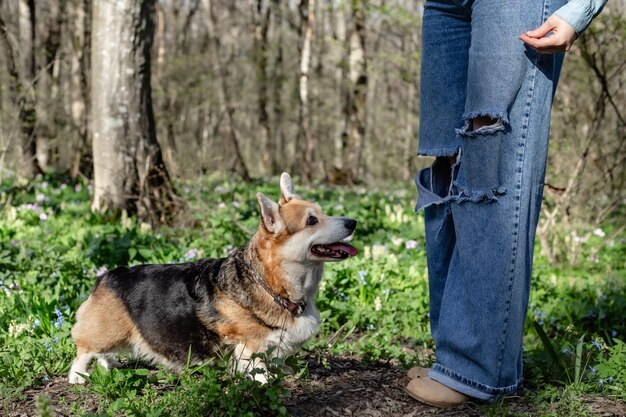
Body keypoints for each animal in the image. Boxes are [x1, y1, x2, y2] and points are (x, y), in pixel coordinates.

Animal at [67, 172, 356, 384]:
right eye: (311, 221)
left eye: (323, 212)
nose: (353, 222)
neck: (271, 285)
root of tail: (107, 275)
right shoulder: (248, 348)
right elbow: (259, 372)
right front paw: (267, 384)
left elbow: (278, 363)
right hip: (106, 332)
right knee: (83, 352)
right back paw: (78, 377)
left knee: (102, 354)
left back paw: (110, 365)